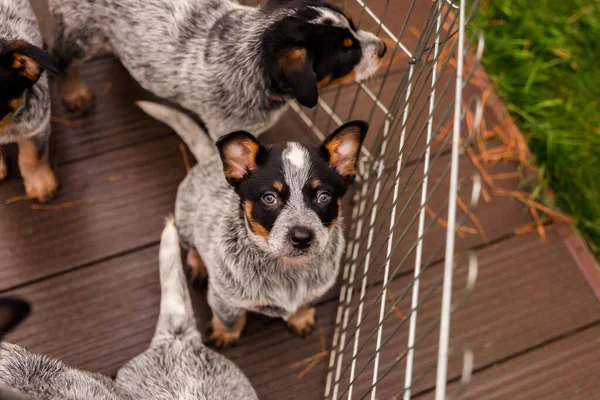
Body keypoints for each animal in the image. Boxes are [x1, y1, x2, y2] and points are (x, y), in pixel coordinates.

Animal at [138, 101, 368, 348]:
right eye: (269, 198)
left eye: (324, 196)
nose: (302, 237)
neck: (288, 269)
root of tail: (210, 159)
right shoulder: (224, 298)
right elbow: (228, 319)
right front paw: (225, 334)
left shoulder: (317, 290)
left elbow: (305, 303)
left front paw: (300, 317)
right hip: (184, 222)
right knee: (192, 246)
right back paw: (198, 264)